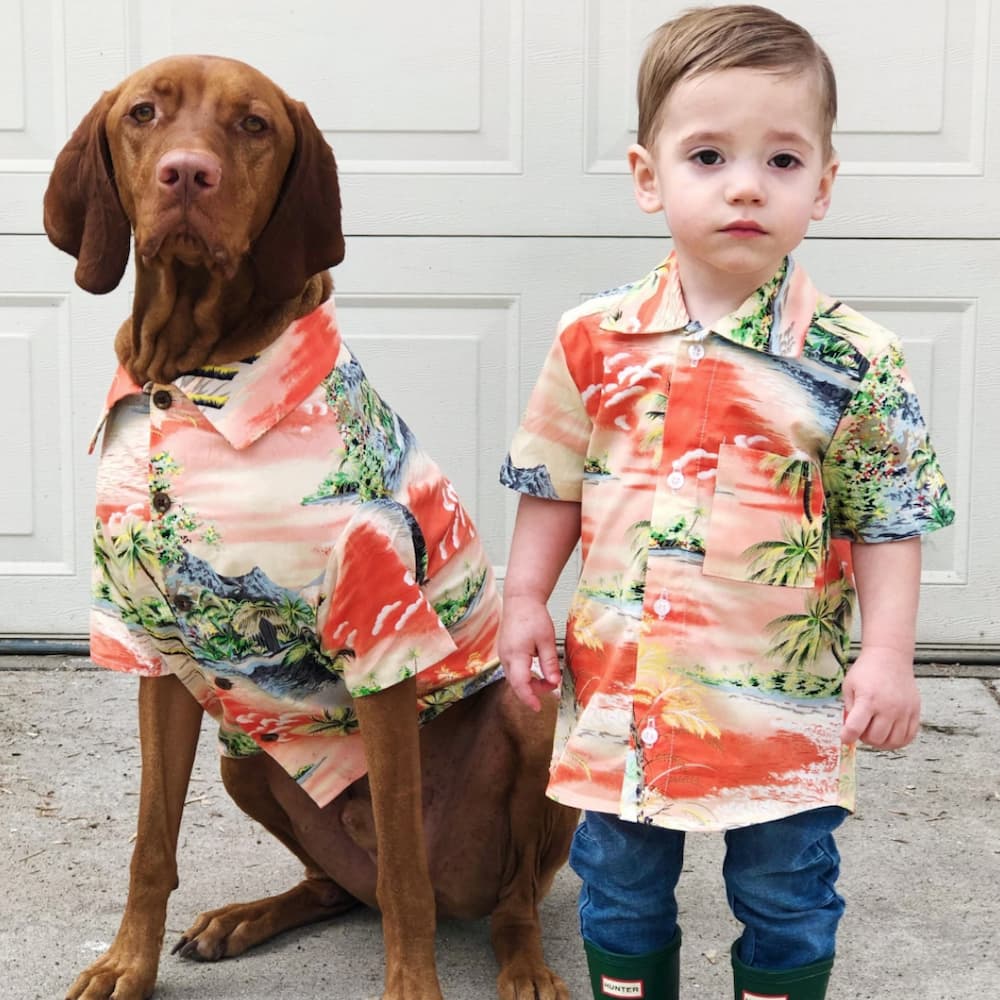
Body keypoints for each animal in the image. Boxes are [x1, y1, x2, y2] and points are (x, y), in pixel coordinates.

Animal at [45, 56, 580, 1000]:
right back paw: (245, 918)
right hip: (242, 753)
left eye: (253, 125)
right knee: (337, 887)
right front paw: (126, 964)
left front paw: (412, 989)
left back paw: (526, 966)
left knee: (488, 896)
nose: (186, 174)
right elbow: (150, 843)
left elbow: (405, 873)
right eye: (144, 113)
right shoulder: (152, 648)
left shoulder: (379, 646)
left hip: (530, 716)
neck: (191, 366)